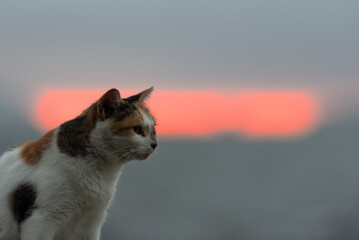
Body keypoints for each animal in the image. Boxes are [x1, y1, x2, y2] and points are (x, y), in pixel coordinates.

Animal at [0, 87, 158, 240]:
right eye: (136, 129)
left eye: (154, 130)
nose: (155, 144)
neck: (101, 171)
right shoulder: (40, 220)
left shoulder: (91, 224)